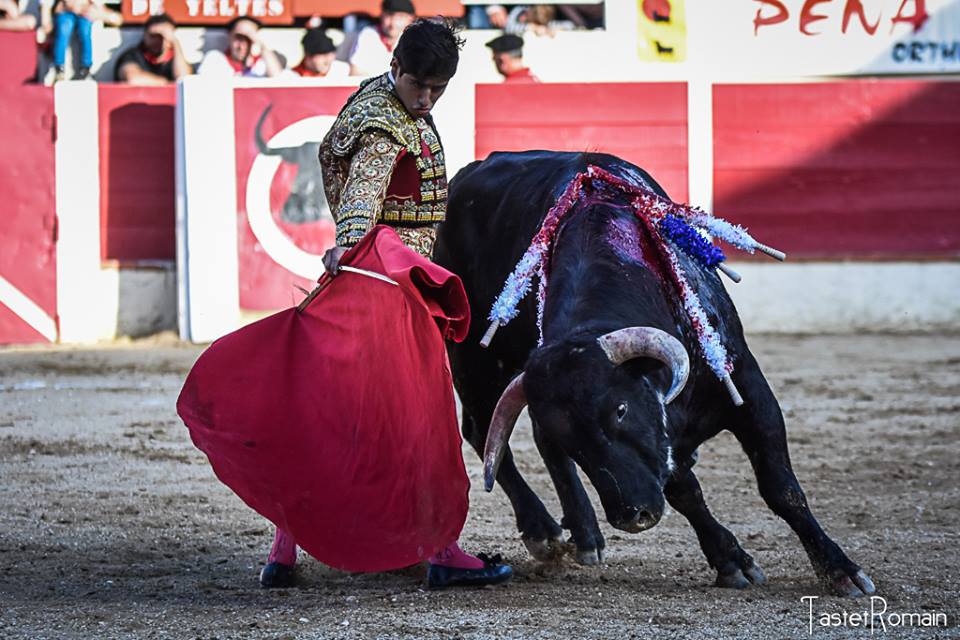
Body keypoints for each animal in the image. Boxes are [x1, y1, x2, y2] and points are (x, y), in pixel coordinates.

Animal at [433, 150, 875, 596]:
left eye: (620, 410)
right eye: (574, 438)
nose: (631, 515)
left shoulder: (750, 391)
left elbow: (781, 488)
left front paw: (841, 570)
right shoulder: (663, 439)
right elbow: (685, 491)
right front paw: (731, 561)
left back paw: (586, 536)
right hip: (472, 359)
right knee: (482, 430)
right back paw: (545, 532)